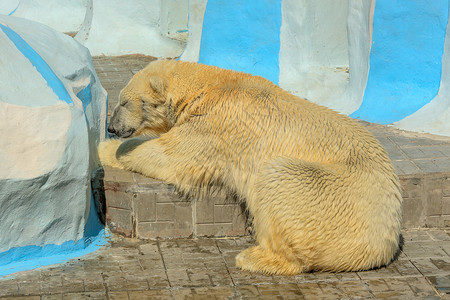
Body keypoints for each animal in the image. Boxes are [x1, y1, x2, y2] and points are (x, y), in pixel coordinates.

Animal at [98, 59, 400, 276]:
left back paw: (253, 257)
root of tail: (382, 246)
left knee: (278, 179)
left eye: (124, 102)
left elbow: (171, 155)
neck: (207, 86)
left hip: (329, 192)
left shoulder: (215, 123)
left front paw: (105, 149)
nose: (111, 127)